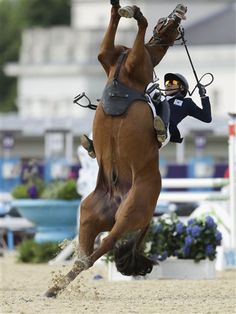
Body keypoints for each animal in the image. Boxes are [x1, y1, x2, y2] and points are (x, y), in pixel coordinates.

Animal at [45, 1, 187, 298]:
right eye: (167, 19)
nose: (181, 8)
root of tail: (118, 199)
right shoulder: (107, 54)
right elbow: (111, 29)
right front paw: (119, 8)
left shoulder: (136, 61)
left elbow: (139, 30)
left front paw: (133, 12)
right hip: (89, 214)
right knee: (88, 253)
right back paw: (56, 286)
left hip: (129, 214)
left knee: (106, 245)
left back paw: (60, 284)